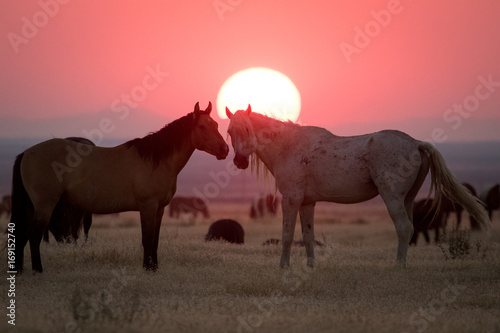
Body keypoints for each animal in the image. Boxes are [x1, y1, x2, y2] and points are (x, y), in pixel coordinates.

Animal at [10, 102, 228, 272]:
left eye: (216, 124)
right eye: (202, 126)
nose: (224, 149)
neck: (156, 161)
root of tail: (26, 153)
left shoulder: (159, 209)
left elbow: (155, 240)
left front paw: (154, 267)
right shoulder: (148, 207)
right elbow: (147, 238)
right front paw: (147, 268)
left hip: (32, 206)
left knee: (22, 235)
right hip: (45, 205)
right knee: (34, 235)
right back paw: (38, 270)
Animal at [225, 105, 490, 268]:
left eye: (247, 129)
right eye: (229, 131)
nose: (239, 162)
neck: (290, 147)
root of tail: (415, 143)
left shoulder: (290, 199)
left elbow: (287, 235)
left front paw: (283, 266)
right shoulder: (307, 202)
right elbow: (308, 235)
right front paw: (311, 265)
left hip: (392, 197)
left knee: (403, 227)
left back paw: (399, 266)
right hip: (407, 199)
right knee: (410, 228)